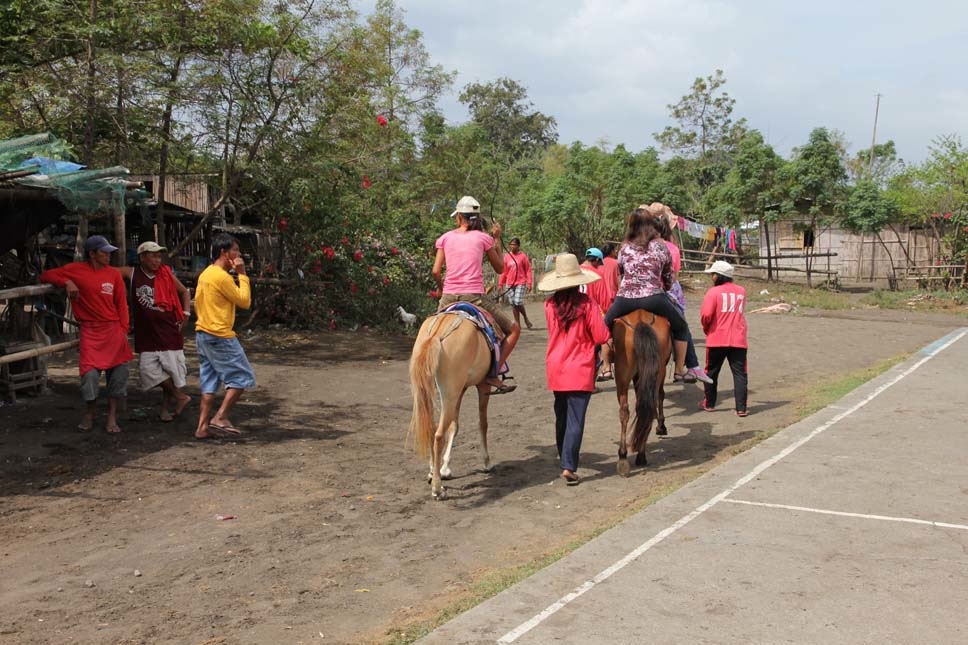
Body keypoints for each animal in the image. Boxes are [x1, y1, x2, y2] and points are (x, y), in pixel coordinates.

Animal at [408, 310, 496, 500]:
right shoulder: (483, 385)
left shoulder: (461, 389)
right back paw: (437, 488)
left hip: (431, 393)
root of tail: (436, 334)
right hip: (449, 394)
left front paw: (445, 468)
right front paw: (486, 462)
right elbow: (482, 423)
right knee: (439, 435)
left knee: (432, 429)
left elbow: (454, 426)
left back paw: (433, 473)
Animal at [612, 310, 672, 476]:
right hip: (655, 372)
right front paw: (661, 426)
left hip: (623, 376)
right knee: (646, 408)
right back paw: (638, 455)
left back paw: (625, 457)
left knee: (627, 411)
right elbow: (661, 395)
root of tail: (641, 321)